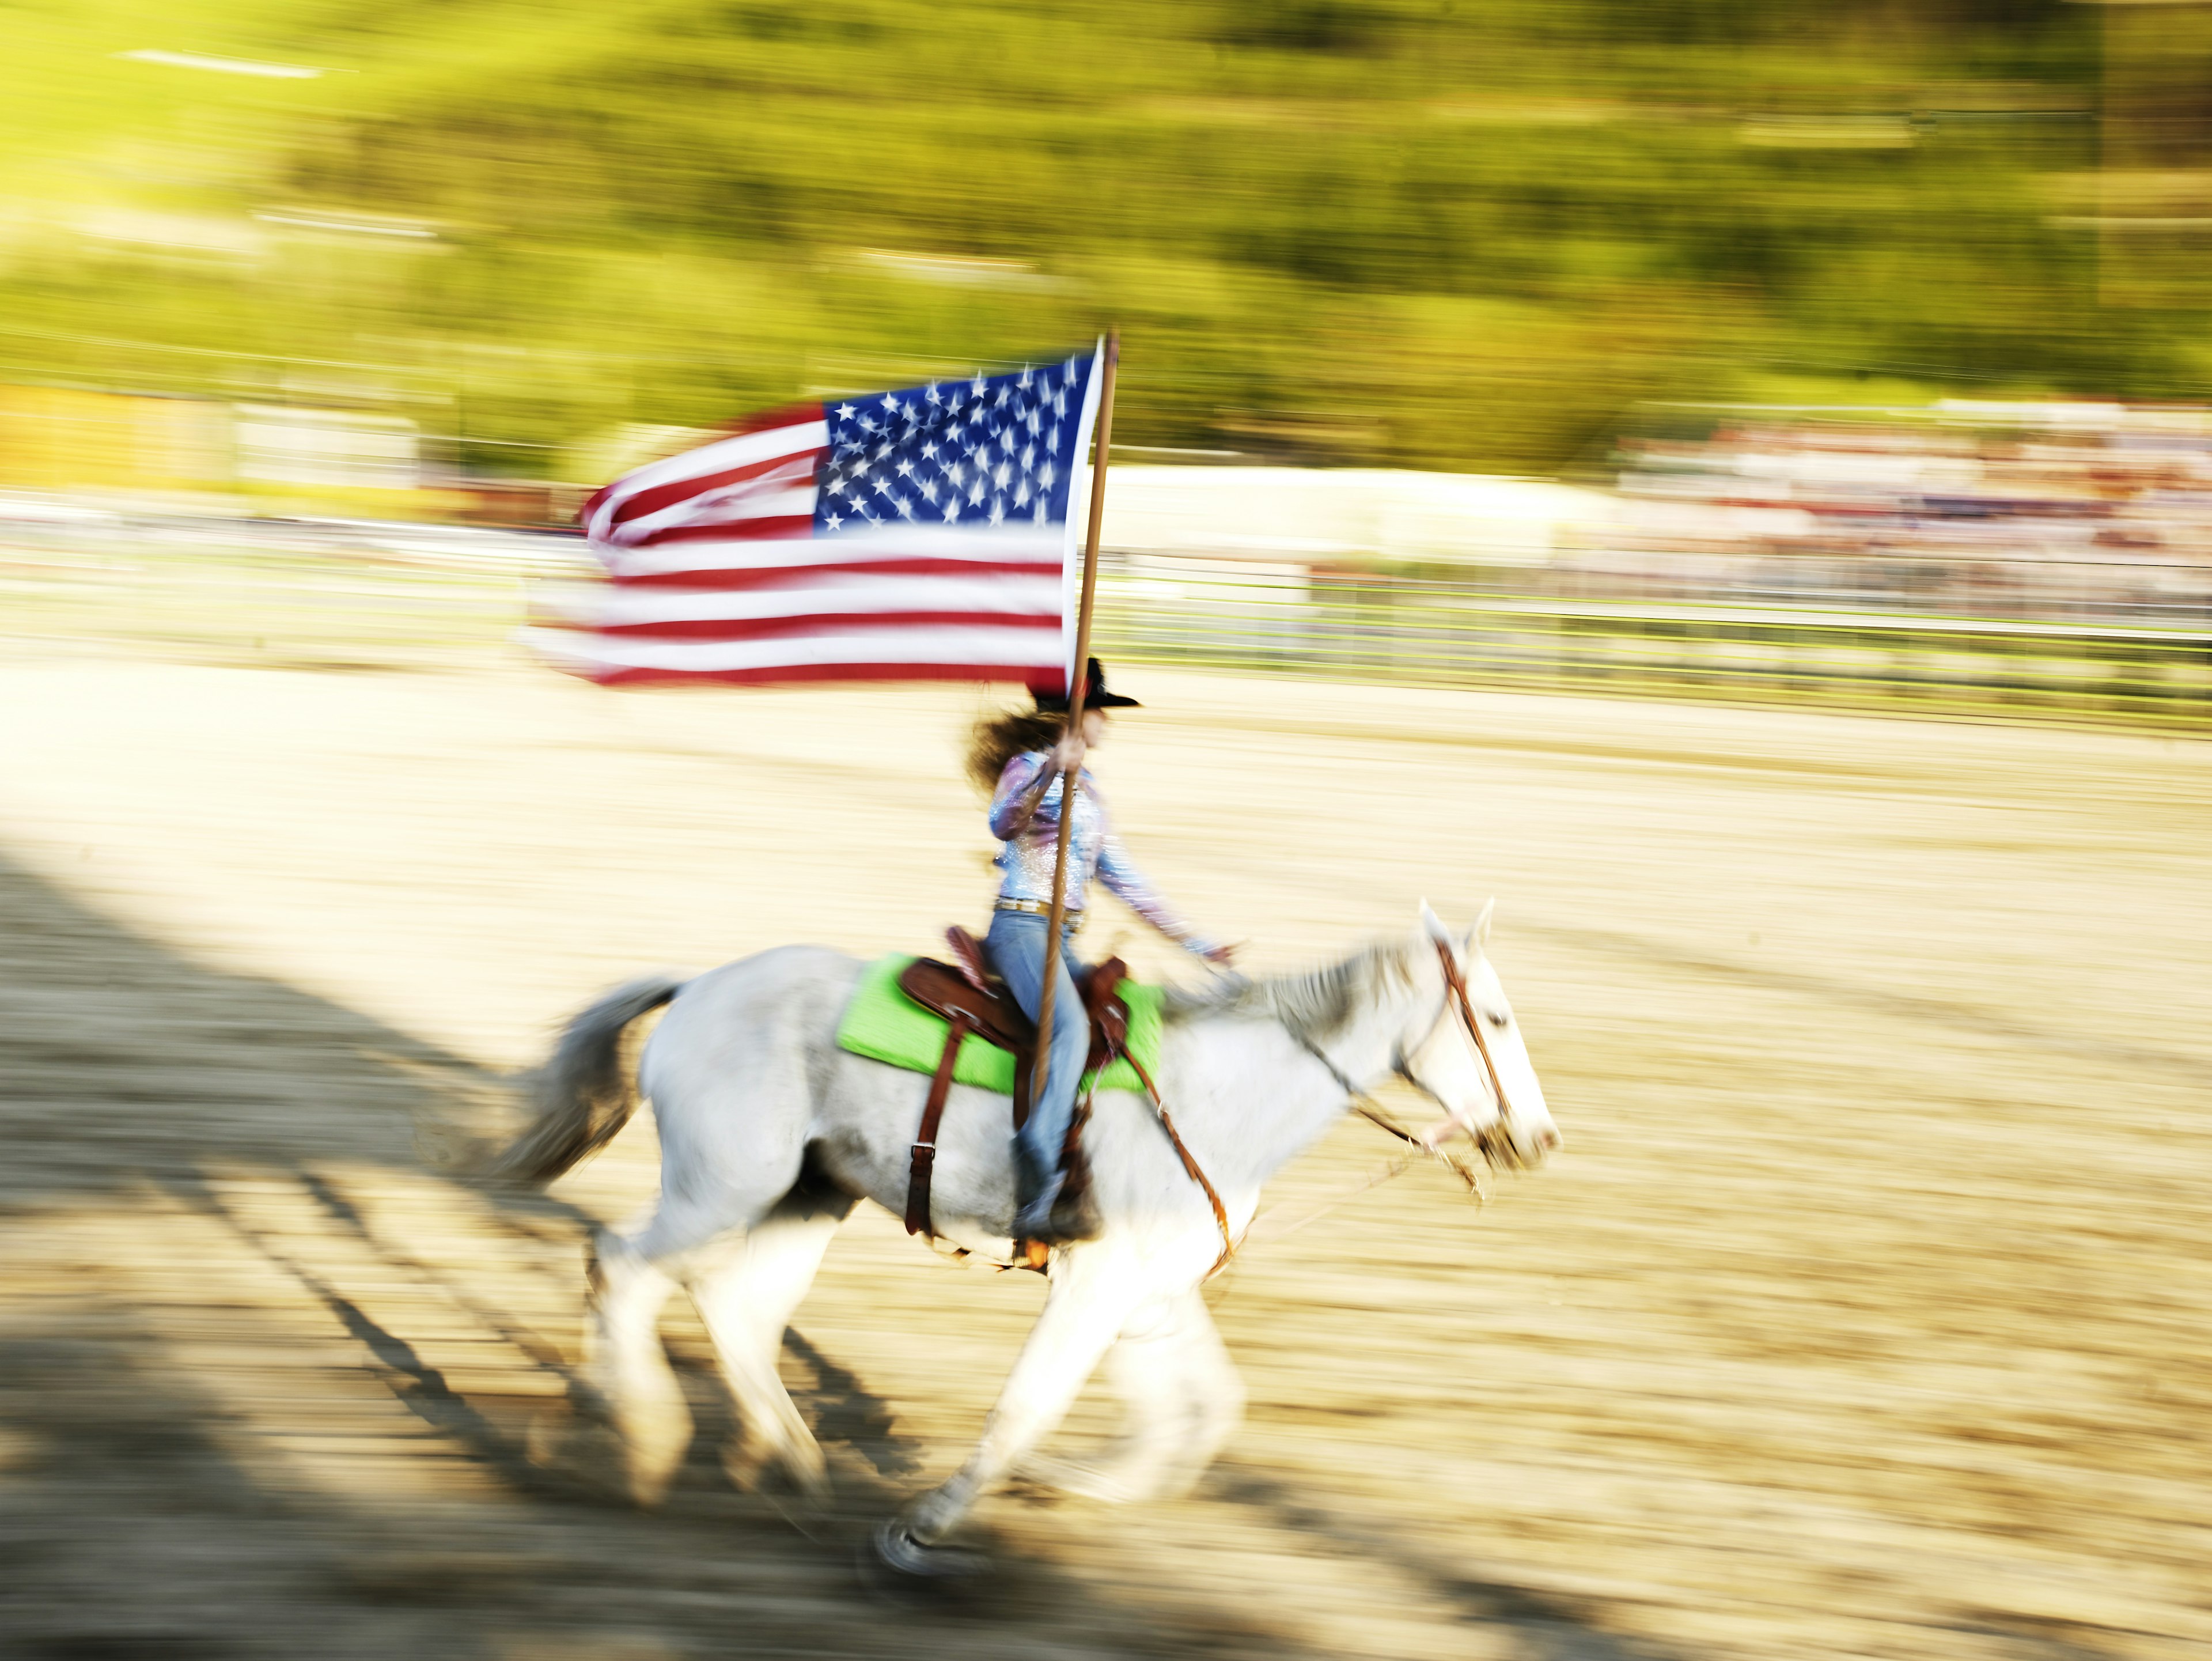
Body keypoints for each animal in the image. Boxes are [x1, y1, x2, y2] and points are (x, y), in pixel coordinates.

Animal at [502, 902, 1566, 1565]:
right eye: (1498, 1015)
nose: (1543, 1137)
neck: (1221, 1099)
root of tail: (699, 986)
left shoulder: (1147, 1292)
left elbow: (1202, 1408)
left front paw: (1079, 1486)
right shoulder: (1099, 1287)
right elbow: (1029, 1407)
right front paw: (919, 1530)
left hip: (807, 1194)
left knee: (736, 1308)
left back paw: (790, 1463)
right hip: (721, 1184)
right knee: (625, 1268)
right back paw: (638, 1441)